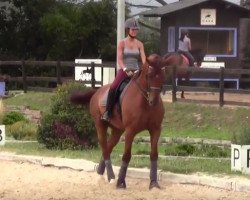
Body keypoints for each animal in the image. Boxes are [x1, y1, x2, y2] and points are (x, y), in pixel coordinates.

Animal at [71, 54, 167, 189]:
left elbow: (154, 154)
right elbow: (126, 156)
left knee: (108, 147)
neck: (144, 102)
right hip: (100, 125)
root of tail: (97, 92)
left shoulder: (156, 129)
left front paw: (154, 183)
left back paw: (101, 174)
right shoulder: (130, 131)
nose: (154, 101)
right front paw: (121, 182)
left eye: (163, 75)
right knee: (104, 147)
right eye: (149, 75)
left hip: (117, 130)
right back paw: (111, 176)